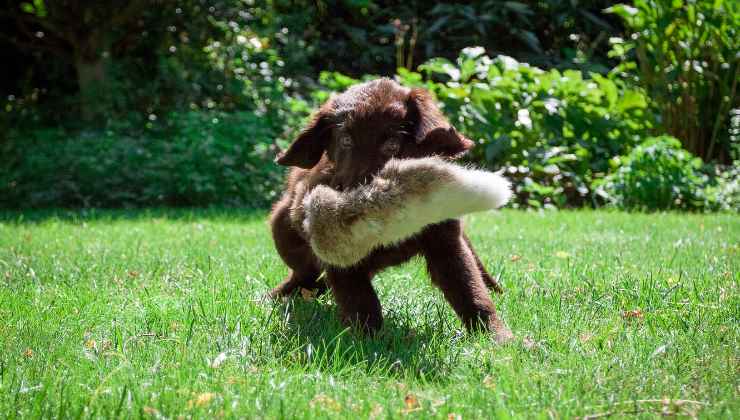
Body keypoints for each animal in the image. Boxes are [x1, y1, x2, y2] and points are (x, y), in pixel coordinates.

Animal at [268, 78, 516, 342]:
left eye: (392, 145)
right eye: (346, 140)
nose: (358, 200)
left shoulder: (446, 242)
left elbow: (469, 289)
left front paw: (497, 337)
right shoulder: (340, 260)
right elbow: (360, 301)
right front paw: (367, 342)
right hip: (283, 229)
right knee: (304, 275)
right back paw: (278, 296)